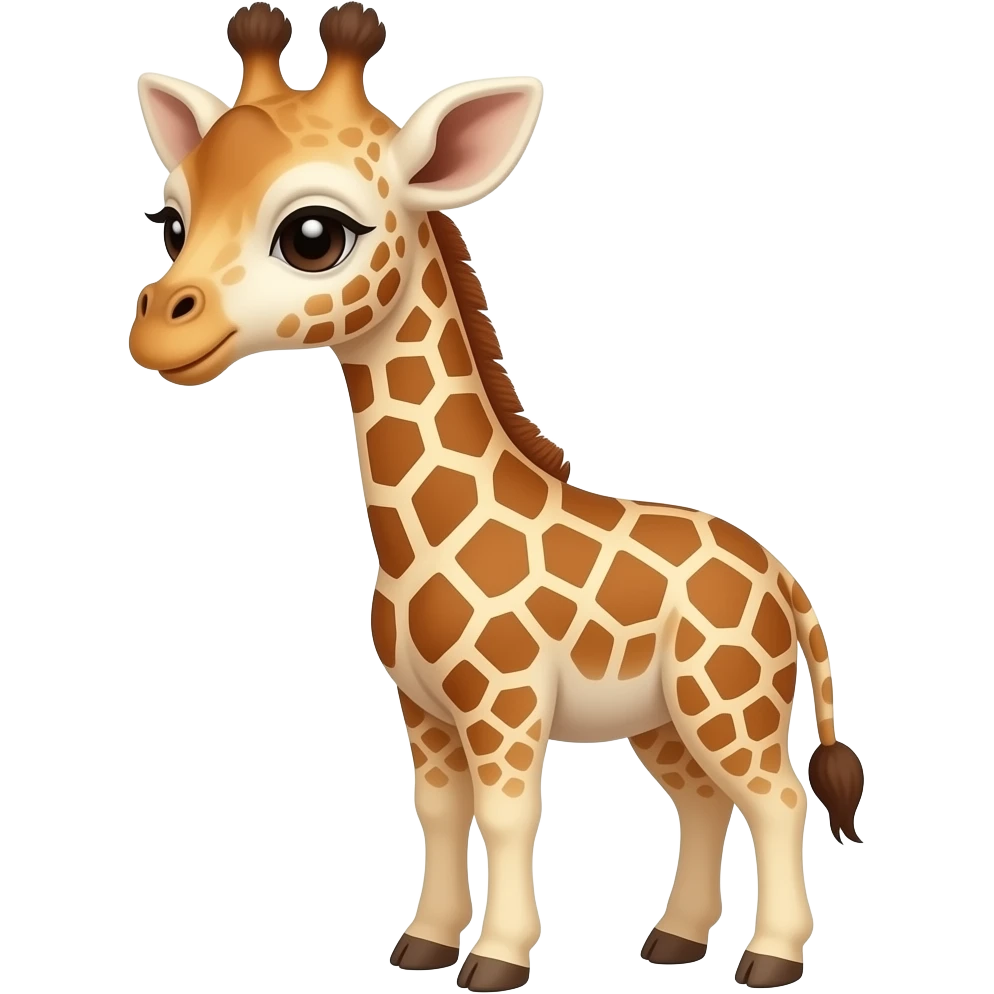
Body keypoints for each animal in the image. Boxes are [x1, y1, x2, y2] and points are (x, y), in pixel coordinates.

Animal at [130, 3, 867, 990]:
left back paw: (771, 960)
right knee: (704, 803)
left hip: (729, 696)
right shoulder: (423, 710)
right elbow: (440, 816)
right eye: (171, 223)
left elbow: (508, 817)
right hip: (662, 716)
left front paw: (497, 960)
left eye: (314, 234)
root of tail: (782, 575)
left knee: (777, 799)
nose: (160, 330)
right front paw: (424, 945)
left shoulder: (505, 701)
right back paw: (674, 942)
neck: (420, 540)